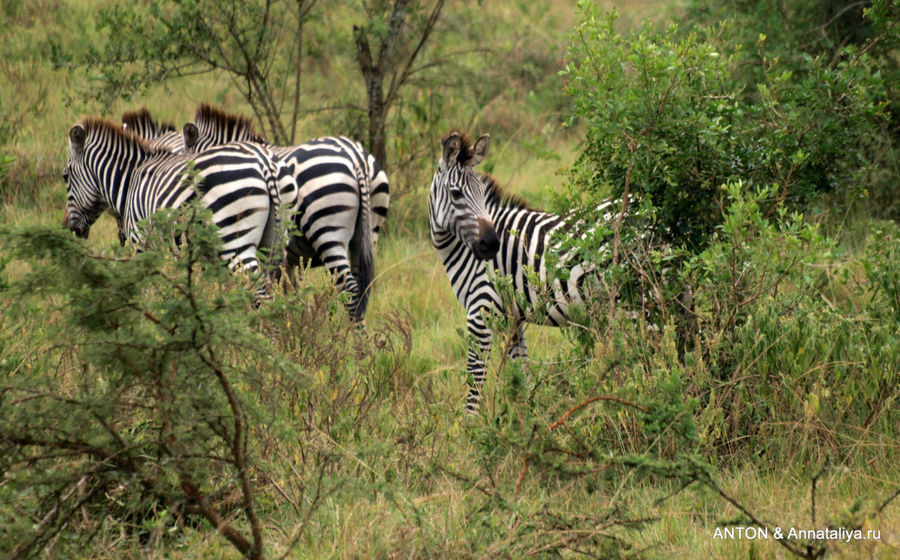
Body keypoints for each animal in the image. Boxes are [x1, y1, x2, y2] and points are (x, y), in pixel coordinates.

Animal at [62, 118, 284, 284]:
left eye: (65, 176)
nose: (67, 228)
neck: (131, 177)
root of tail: (262, 162)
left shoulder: (141, 242)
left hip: (234, 237)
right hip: (268, 240)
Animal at [178, 104, 388, 324]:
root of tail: (356, 157)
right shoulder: (289, 261)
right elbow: (292, 293)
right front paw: (295, 325)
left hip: (327, 229)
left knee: (349, 289)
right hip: (369, 231)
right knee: (362, 288)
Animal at [432, 130, 624, 412]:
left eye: (482, 193)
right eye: (456, 194)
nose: (492, 244)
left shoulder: (480, 310)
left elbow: (475, 379)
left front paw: (470, 423)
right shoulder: (513, 318)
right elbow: (520, 376)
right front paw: (526, 418)